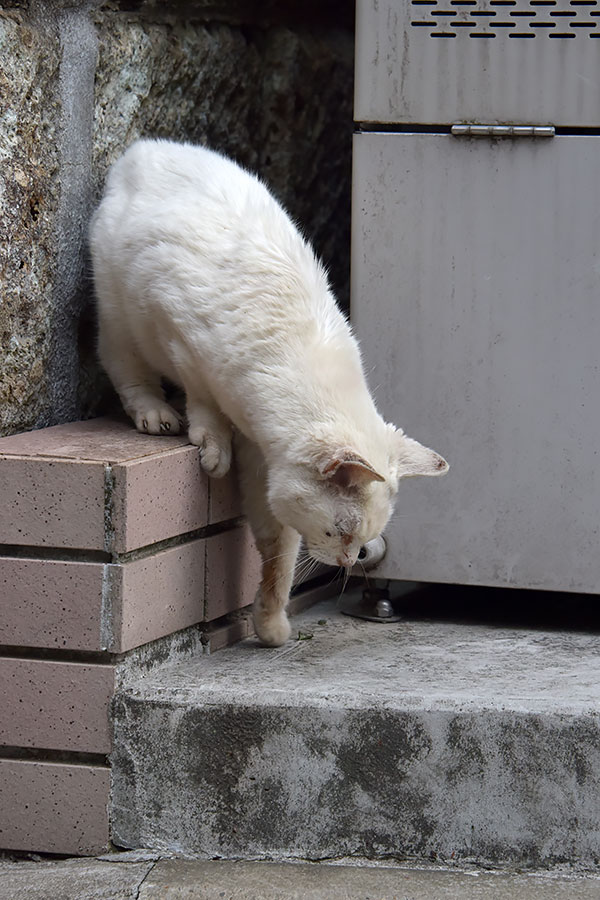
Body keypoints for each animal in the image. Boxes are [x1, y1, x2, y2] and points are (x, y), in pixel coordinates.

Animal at [88, 139, 446, 648]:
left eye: (361, 540)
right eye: (342, 532)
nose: (350, 561)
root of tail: (148, 147)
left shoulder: (267, 464)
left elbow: (279, 550)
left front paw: (271, 622)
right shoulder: (175, 327)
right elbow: (202, 399)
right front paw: (212, 446)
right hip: (120, 311)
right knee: (125, 365)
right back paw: (156, 414)